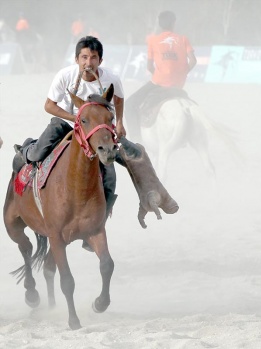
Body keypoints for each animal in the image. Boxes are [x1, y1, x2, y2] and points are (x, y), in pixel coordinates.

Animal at [3, 84, 117, 328]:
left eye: (110, 117)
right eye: (83, 119)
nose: (108, 149)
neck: (75, 189)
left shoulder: (94, 231)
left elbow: (107, 265)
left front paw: (99, 303)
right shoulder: (56, 236)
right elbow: (67, 280)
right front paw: (73, 321)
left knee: (46, 266)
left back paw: (51, 305)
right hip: (13, 225)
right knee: (25, 248)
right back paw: (32, 295)